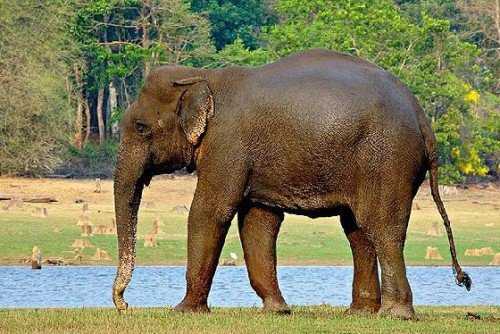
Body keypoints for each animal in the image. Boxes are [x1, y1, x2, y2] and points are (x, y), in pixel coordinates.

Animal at [111, 48, 470, 320]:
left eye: (141, 127)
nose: (125, 305)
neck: (202, 75)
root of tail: (423, 119)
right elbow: (258, 221)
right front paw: (277, 310)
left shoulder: (227, 144)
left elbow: (210, 211)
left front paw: (183, 311)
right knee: (357, 231)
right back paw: (359, 313)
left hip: (387, 159)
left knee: (381, 228)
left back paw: (395, 315)